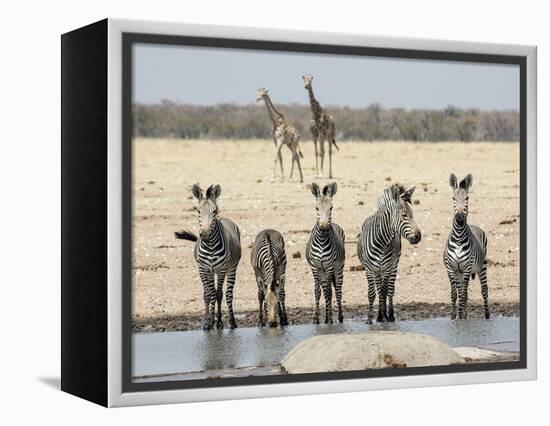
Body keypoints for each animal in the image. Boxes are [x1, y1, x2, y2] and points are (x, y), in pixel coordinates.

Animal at [176, 183, 243, 330]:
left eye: (215, 211)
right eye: (198, 211)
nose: (205, 235)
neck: (210, 246)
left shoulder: (222, 270)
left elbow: (218, 294)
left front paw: (218, 322)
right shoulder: (204, 269)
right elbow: (209, 295)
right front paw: (208, 322)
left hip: (231, 268)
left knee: (228, 294)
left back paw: (231, 321)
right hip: (211, 272)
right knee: (210, 293)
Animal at [306, 181, 344, 324]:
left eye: (331, 208)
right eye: (317, 208)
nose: (324, 227)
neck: (322, 240)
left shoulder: (329, 266)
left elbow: (328, 292)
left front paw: (329, 319)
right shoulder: (315, 266)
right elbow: (318, 292)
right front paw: (316, 318)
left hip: (338, 268)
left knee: (337, 291)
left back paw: (338, 317)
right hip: (322, 271)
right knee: (326, 291)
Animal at [358, 183, 422, 322]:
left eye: (413, 214)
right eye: (404, 215)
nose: (418, 237)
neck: (381, 242)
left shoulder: (387, 267)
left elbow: (384, 291)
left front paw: (383, 316)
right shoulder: (370, 268)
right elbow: (373, 293)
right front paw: (372, 318)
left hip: (393, 265)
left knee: (390, 290)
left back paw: (390, 315)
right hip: (377, 269)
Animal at [444, 173, 492, 320]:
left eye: (467, 198)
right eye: (453, 198)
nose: (460, 218)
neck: (459, 238)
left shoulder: (466, 268)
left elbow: (463, 295)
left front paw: (462, 318)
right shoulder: (451, 269)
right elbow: (455, 294)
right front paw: (454, 316)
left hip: (482, 266)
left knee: (484, 290)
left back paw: (487, 315)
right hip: (460, 272)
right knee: (462, 292)